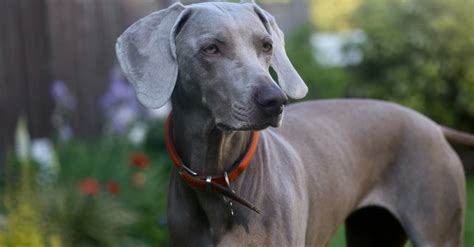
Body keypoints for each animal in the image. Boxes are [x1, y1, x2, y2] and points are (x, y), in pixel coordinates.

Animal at [115, 0, 474, 246]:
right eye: (211, 48)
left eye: (267, 45)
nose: (275, 100)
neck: (218, 176)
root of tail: (431, 125)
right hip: (372, 230)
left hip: (437, 223)